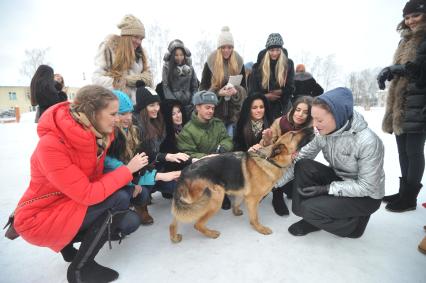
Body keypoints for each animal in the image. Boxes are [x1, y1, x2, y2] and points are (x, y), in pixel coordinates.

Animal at [169, 129, 312, 244]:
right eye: (293, 134)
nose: (311, 127)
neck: (271, 160)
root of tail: (184, 173)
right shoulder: (252, 200)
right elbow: (254, 218)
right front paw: (260, 228)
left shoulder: (243, 194)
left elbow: (237, 203)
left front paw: (236, 211)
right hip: (215, 197)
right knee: (197, 224)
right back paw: (211, 233)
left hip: (189, 204)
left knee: (175, 220)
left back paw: (174, 237)